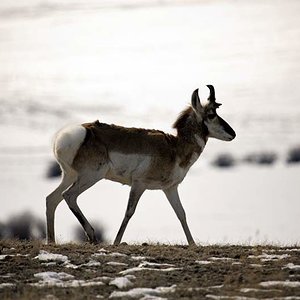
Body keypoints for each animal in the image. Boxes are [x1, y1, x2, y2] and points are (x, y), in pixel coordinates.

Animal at [45, 84, 236, 244]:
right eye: (211, 114)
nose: (233, 134)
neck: (175, 148)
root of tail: (75, 134)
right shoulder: (139, 184)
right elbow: (129, 212)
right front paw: (116, 243)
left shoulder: (170, 188)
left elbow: (181, 214)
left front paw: (193, 244)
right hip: (91, 177)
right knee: (68, 196)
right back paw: (92, 236)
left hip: (70, 176)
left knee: (51, 199)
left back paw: (51, 241)